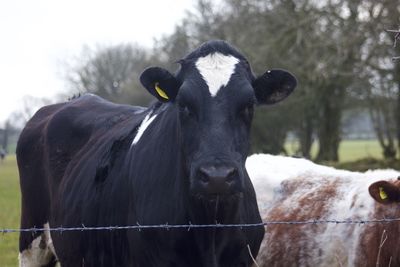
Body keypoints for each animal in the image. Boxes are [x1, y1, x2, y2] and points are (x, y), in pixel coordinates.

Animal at [17, 40, 296, 267]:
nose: (217, 177)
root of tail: (75, 99)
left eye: (249, 105)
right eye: (183, 105)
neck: (209, 229)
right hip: (31, 240)